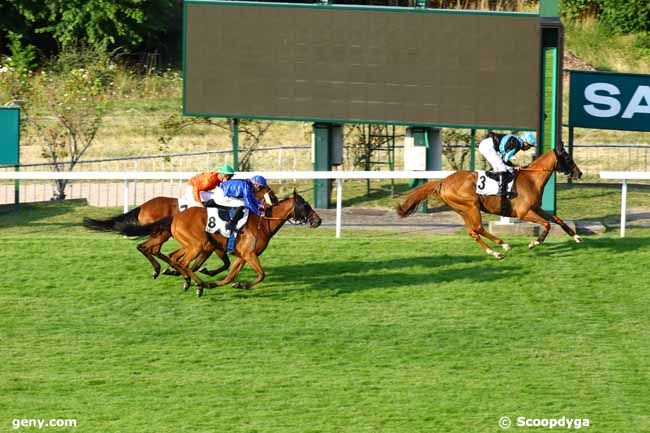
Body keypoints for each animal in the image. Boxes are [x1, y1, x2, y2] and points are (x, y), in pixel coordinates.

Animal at [82, 186, 274, 276]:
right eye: (270, 193)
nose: (274, 202)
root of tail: (143, 205)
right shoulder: (212, 242)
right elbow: (221, 261)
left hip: (161, 233)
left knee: (153, 249)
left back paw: (166, 267)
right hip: (162, 233)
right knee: (151, 248)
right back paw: (163, 268)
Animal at [114, 191, 322, 296]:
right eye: (306, 206)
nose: (318, 220)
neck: (263, 222)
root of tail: (175, 217)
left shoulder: (242, 255)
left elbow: (230, 275)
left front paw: (231, 284)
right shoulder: (249, 254)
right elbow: (262, 274)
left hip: (190, 244)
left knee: (171, 257)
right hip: (196, 244)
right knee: (178, 261)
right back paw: (194, 283)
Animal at [394, 143, 584, 258]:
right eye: (568, 158)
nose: (579, 173)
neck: (531, 179)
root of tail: (443, 181)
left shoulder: (536, 208)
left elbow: (558, 219)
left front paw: (576, 236)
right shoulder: (524, 212)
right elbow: (547, 224)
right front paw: (534, 242)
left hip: (463, 210)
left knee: (473, 232)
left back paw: (495, 252)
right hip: (471, 206)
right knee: (478, 228)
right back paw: (503, 245)